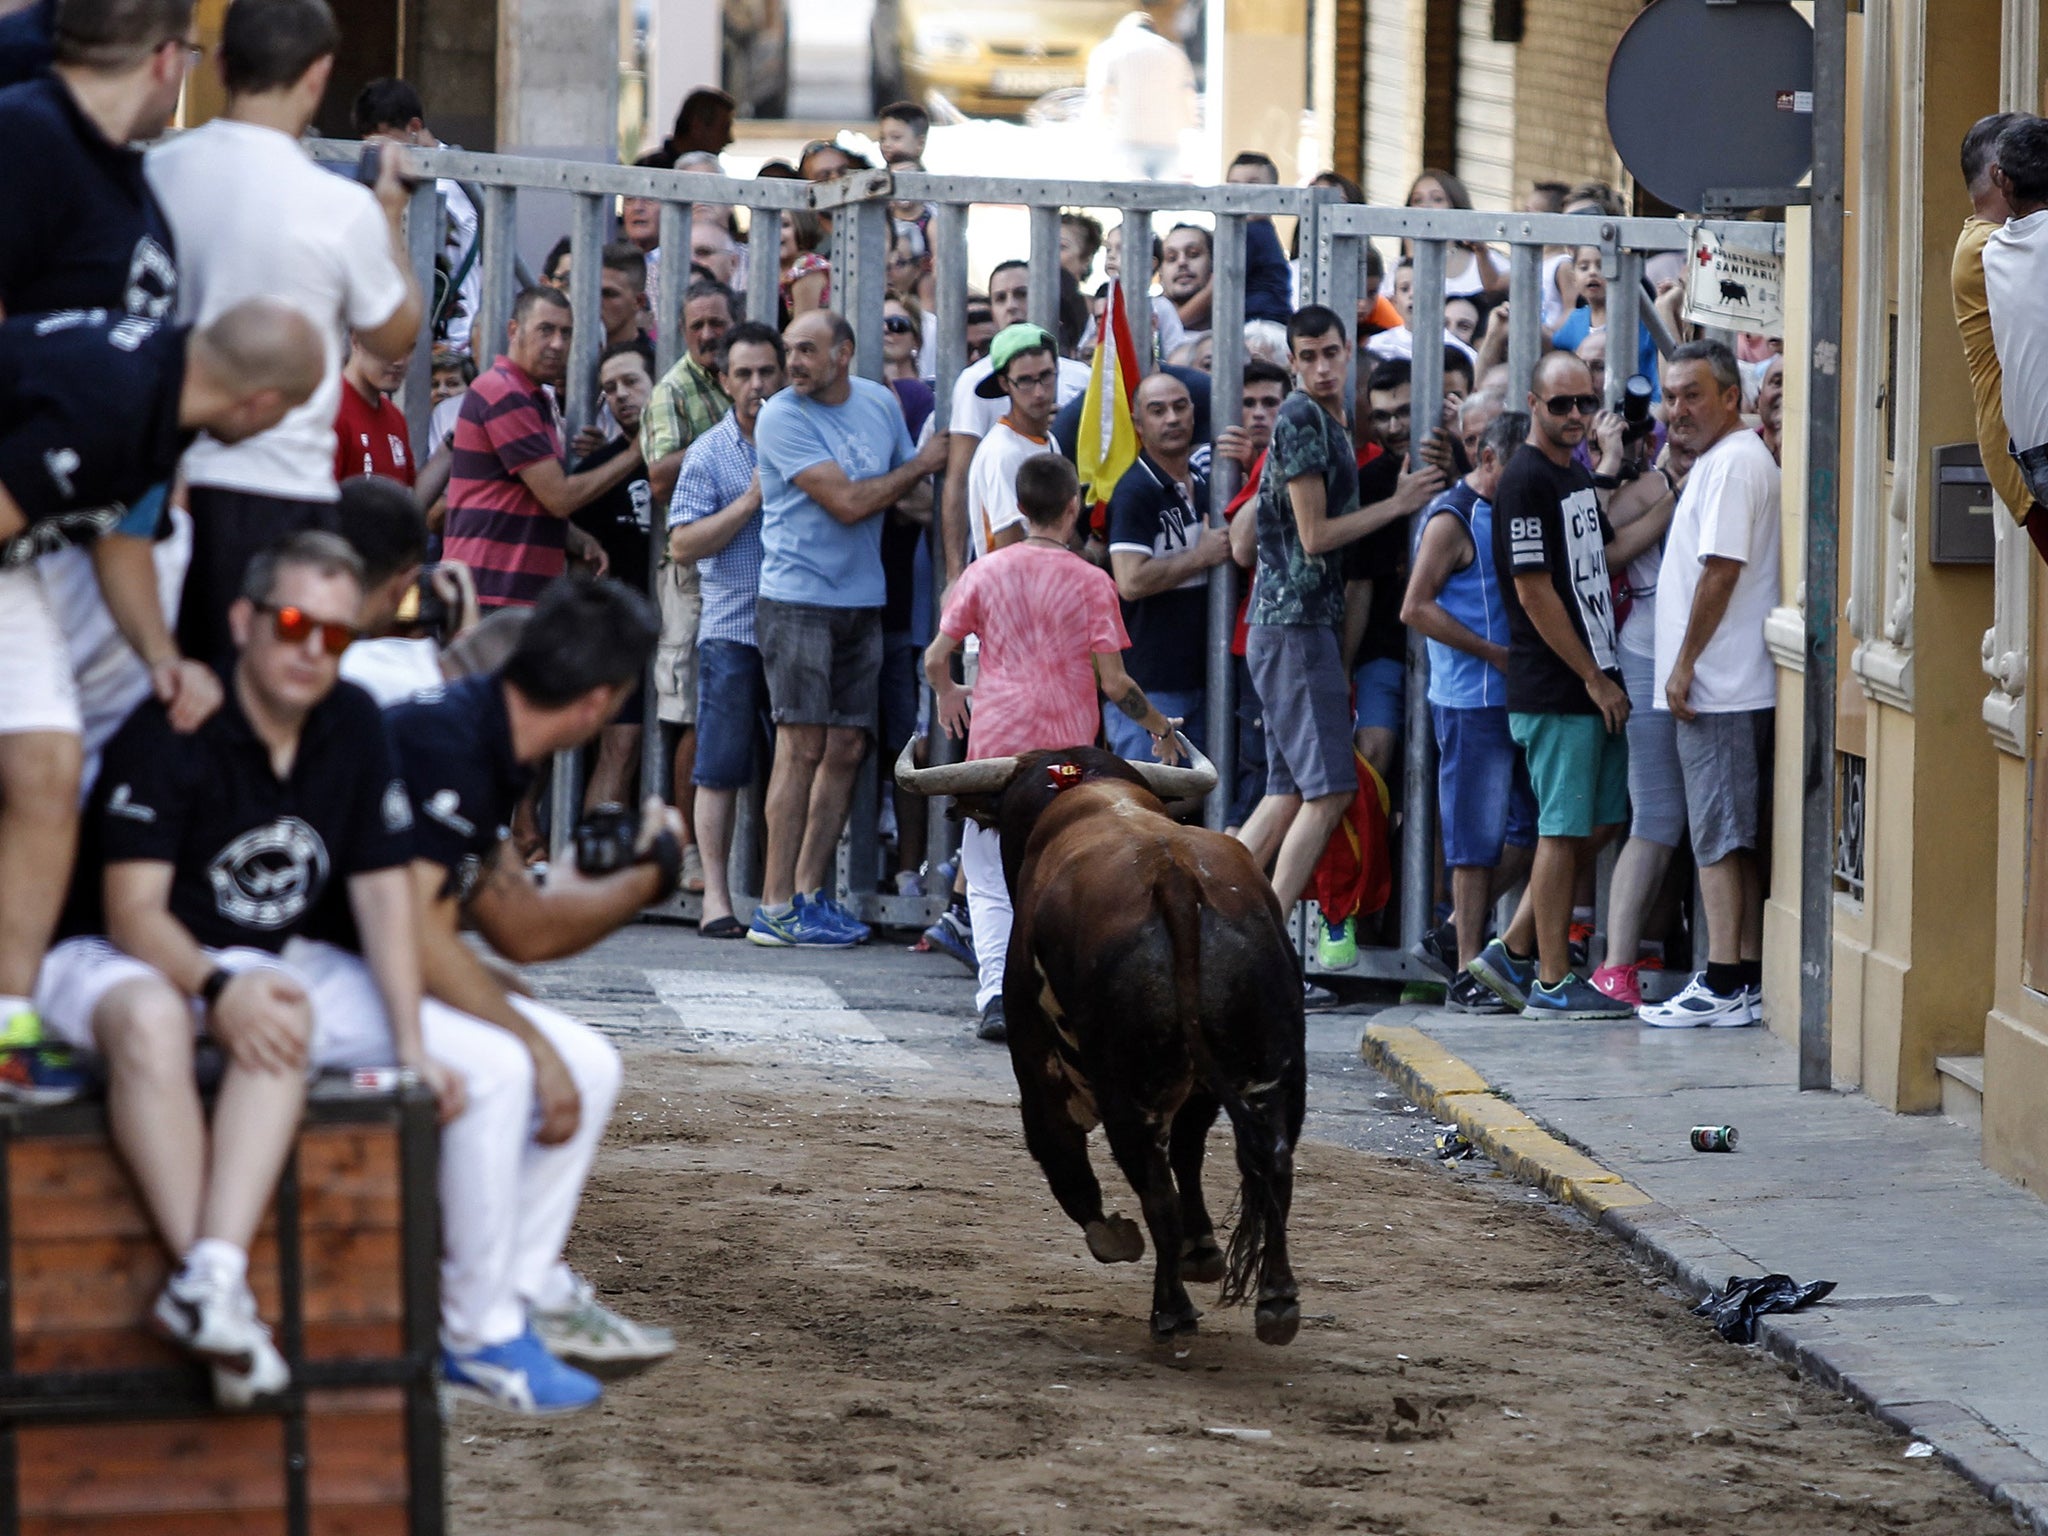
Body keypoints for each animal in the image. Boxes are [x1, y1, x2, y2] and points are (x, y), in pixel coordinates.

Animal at [901, 741, 1310, 1343]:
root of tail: (1174, 880)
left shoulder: (1036, 1064)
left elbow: (1064, 1160)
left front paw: (1116, 1237)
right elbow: (1190, 1154)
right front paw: (1201, 1250)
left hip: (1127, 1091)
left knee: (1154, 1188)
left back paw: (1171, 1313)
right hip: (1273, 1072)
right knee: (1270, 1161)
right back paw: (1276, 1302)